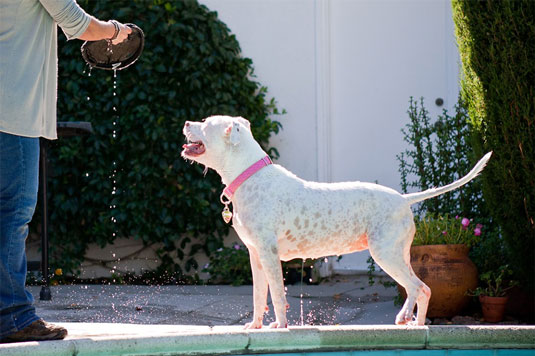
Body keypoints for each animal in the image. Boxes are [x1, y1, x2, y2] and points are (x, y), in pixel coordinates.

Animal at [182, 114, 492, 328]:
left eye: (206, 122)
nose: (185, 122)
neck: (250, 176)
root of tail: (403, 199)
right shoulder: (255, 256)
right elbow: (259, 296)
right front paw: (255, 325)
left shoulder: (269, 255)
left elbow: (278, 295)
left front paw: (279, 326)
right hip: (399, 254)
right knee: (417, 288)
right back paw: (410, 321)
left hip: (386, 254)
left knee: (421, 287)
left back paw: (411, 321)